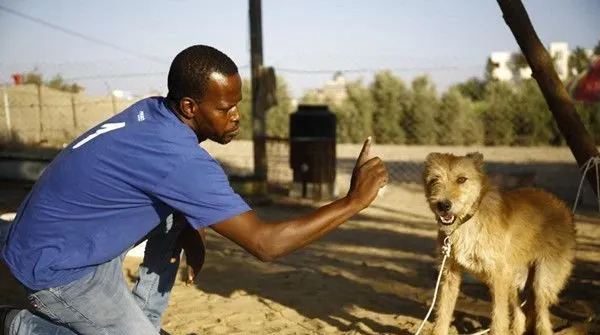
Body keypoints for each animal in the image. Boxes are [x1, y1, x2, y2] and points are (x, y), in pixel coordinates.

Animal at [422, 153, 576, 335]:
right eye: (434, 180)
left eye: (462, 179)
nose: (443, 205)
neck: (468, 220)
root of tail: (560, 204)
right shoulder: (450, 273)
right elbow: (443, 312)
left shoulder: (498, 276)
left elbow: (499, 318)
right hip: (514, 279)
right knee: (521, 313)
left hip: (543, 280)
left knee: (542, 313)